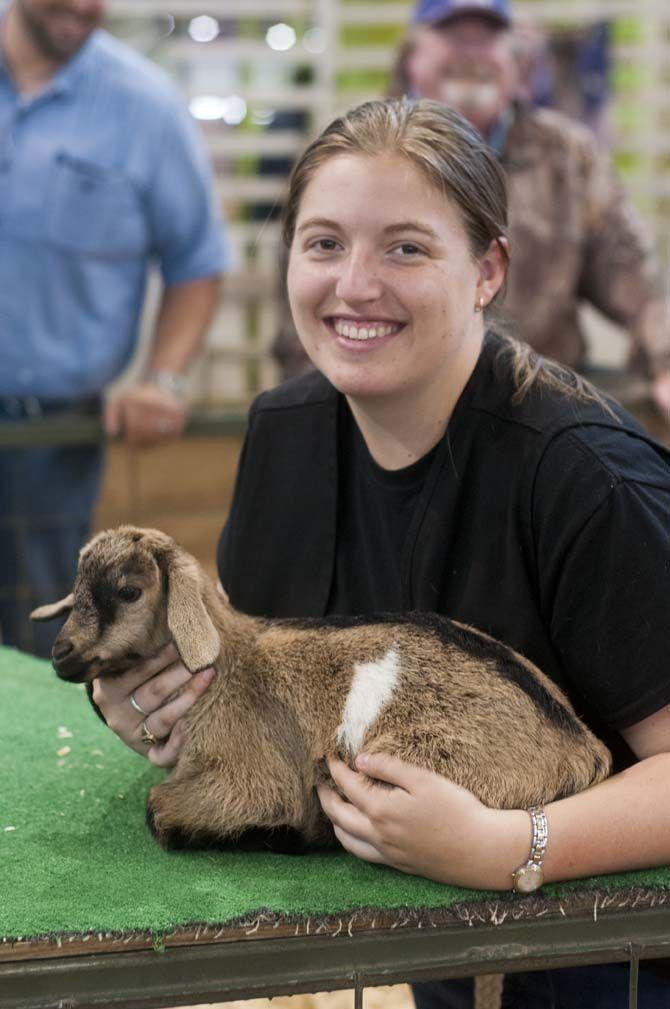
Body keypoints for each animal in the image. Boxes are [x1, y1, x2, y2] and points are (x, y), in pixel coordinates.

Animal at [32, 528, 613, 851]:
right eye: (77, 587)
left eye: (129, 591)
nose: (61, 653)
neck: (229, 663)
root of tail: (581, 747)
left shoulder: (252, 775)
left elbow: (158, 808)